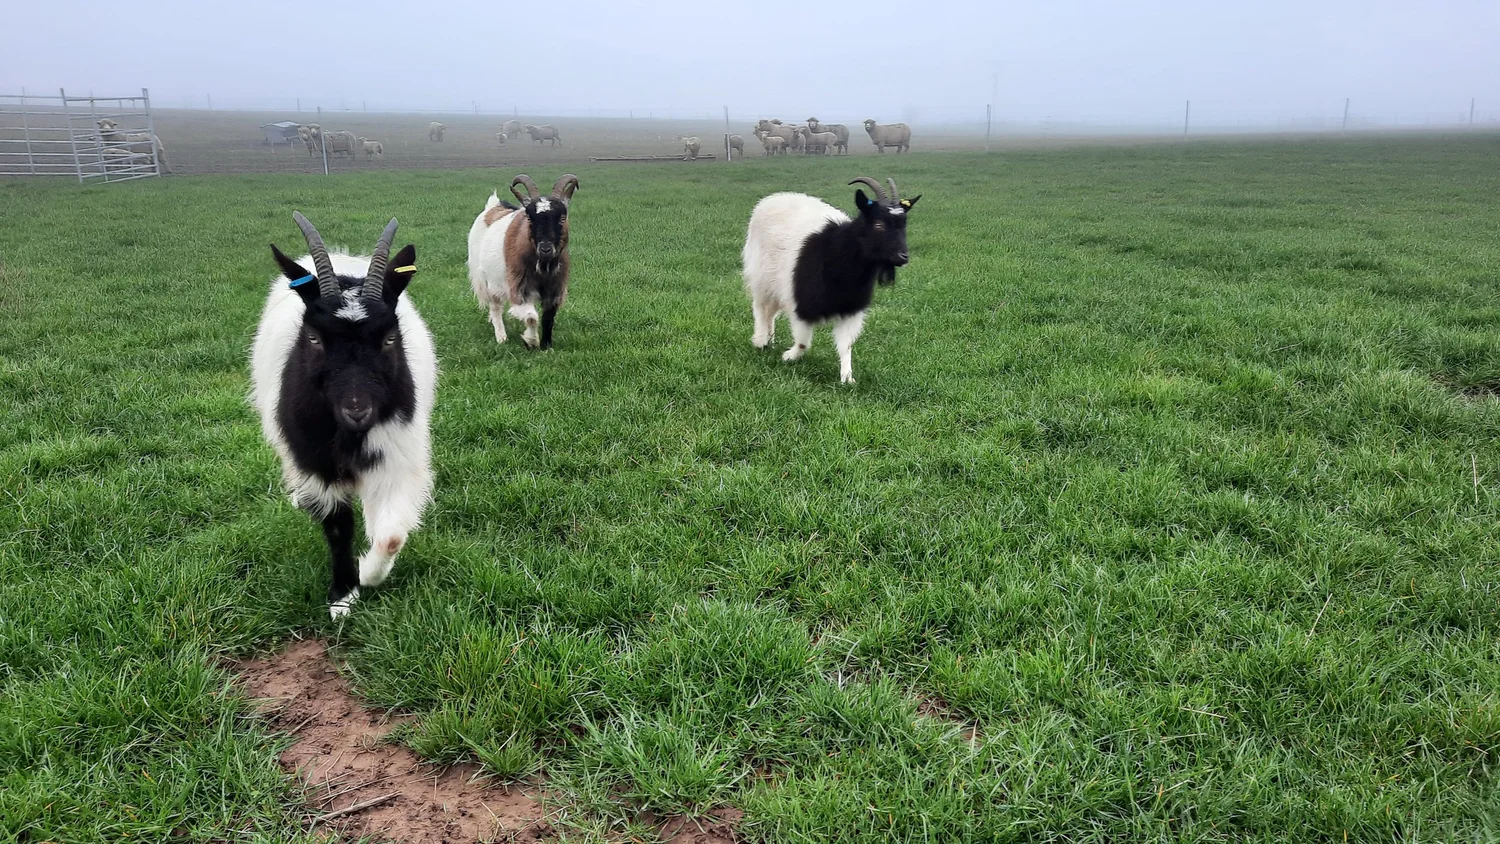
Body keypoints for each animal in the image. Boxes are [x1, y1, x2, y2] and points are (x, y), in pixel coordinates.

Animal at [250, 214, 437, 618]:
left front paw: (367, 573)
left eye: (390, 339)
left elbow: (391, 535)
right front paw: (343, 593)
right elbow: (337, 524)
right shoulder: (315, 462)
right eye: (314, 338)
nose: (357, 410)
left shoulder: (396, 454)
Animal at [467, 174, 580, 350]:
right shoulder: (519, 288)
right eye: (529, 217)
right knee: (495, 307)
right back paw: (501, 337)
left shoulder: (555, 290)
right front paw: (531, 341)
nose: (545, 248)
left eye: (562, 217)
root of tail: (492, 207)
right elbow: (531, 317)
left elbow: (548, 318)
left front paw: (547, 346)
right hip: (486, 280)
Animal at [742, 177, 920, 384]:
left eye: (903, 225)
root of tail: (770, 200)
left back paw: (769, 340)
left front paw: (847, 378)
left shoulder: (850, 309)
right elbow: (803, 343)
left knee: (770, 311)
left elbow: (846, 345)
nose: (903, 257)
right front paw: (788, 356)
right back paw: (761, 341)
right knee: (762, 308)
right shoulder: (801, 304)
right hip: (761, 277)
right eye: (878, 225)